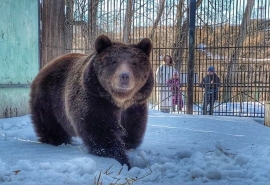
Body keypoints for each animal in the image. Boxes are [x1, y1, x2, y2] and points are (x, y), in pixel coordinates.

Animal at [29, 34, 154, 169]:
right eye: (114, 62)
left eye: (134, 63)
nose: (124, 76)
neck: (119, 101)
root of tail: (47, 65)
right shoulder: (95, 100)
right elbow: (101, 132)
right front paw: (122, 160)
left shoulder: (134, 107)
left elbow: (133, 130)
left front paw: (128, 147)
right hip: (48, 99)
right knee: (49, 125)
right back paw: (56, 140)